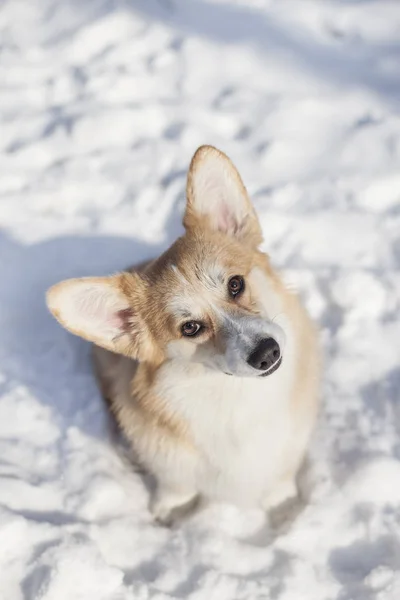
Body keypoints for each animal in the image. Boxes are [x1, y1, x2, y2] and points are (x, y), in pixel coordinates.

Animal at [47, 146, 320, 524]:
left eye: (236, 284)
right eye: (190, 327)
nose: (268, 352)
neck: (235, 399)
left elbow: (279, 485)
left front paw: (284, 509)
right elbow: (176, 490)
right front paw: (171, 513)